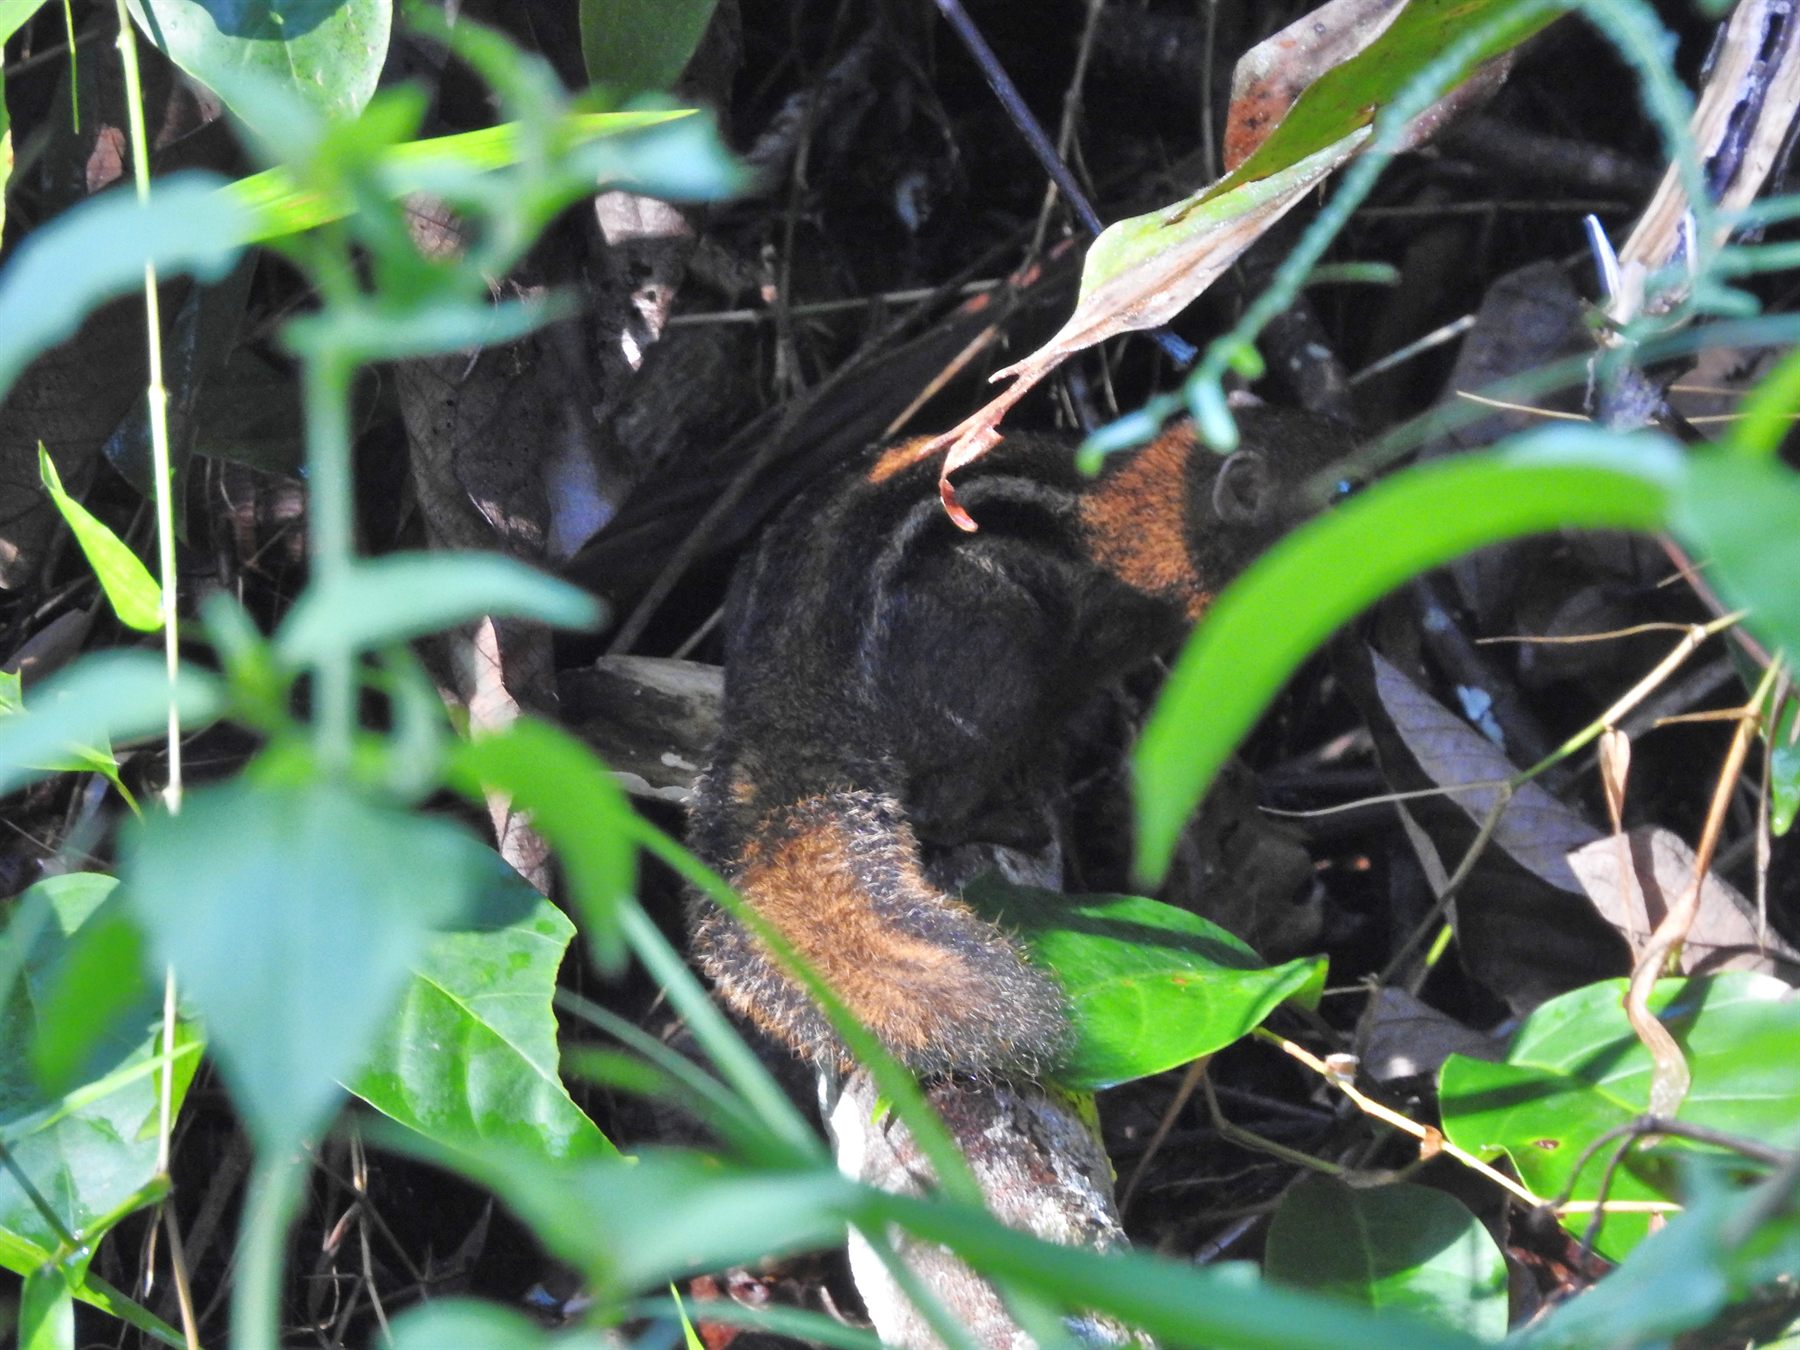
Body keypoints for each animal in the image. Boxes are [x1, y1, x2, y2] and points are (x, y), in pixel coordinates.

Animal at [687, 407, 1352, 1077]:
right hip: (994, 645)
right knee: (939, 803)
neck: (1142, 514)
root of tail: (790, 691)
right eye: (1344, 488)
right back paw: (1015, 817)